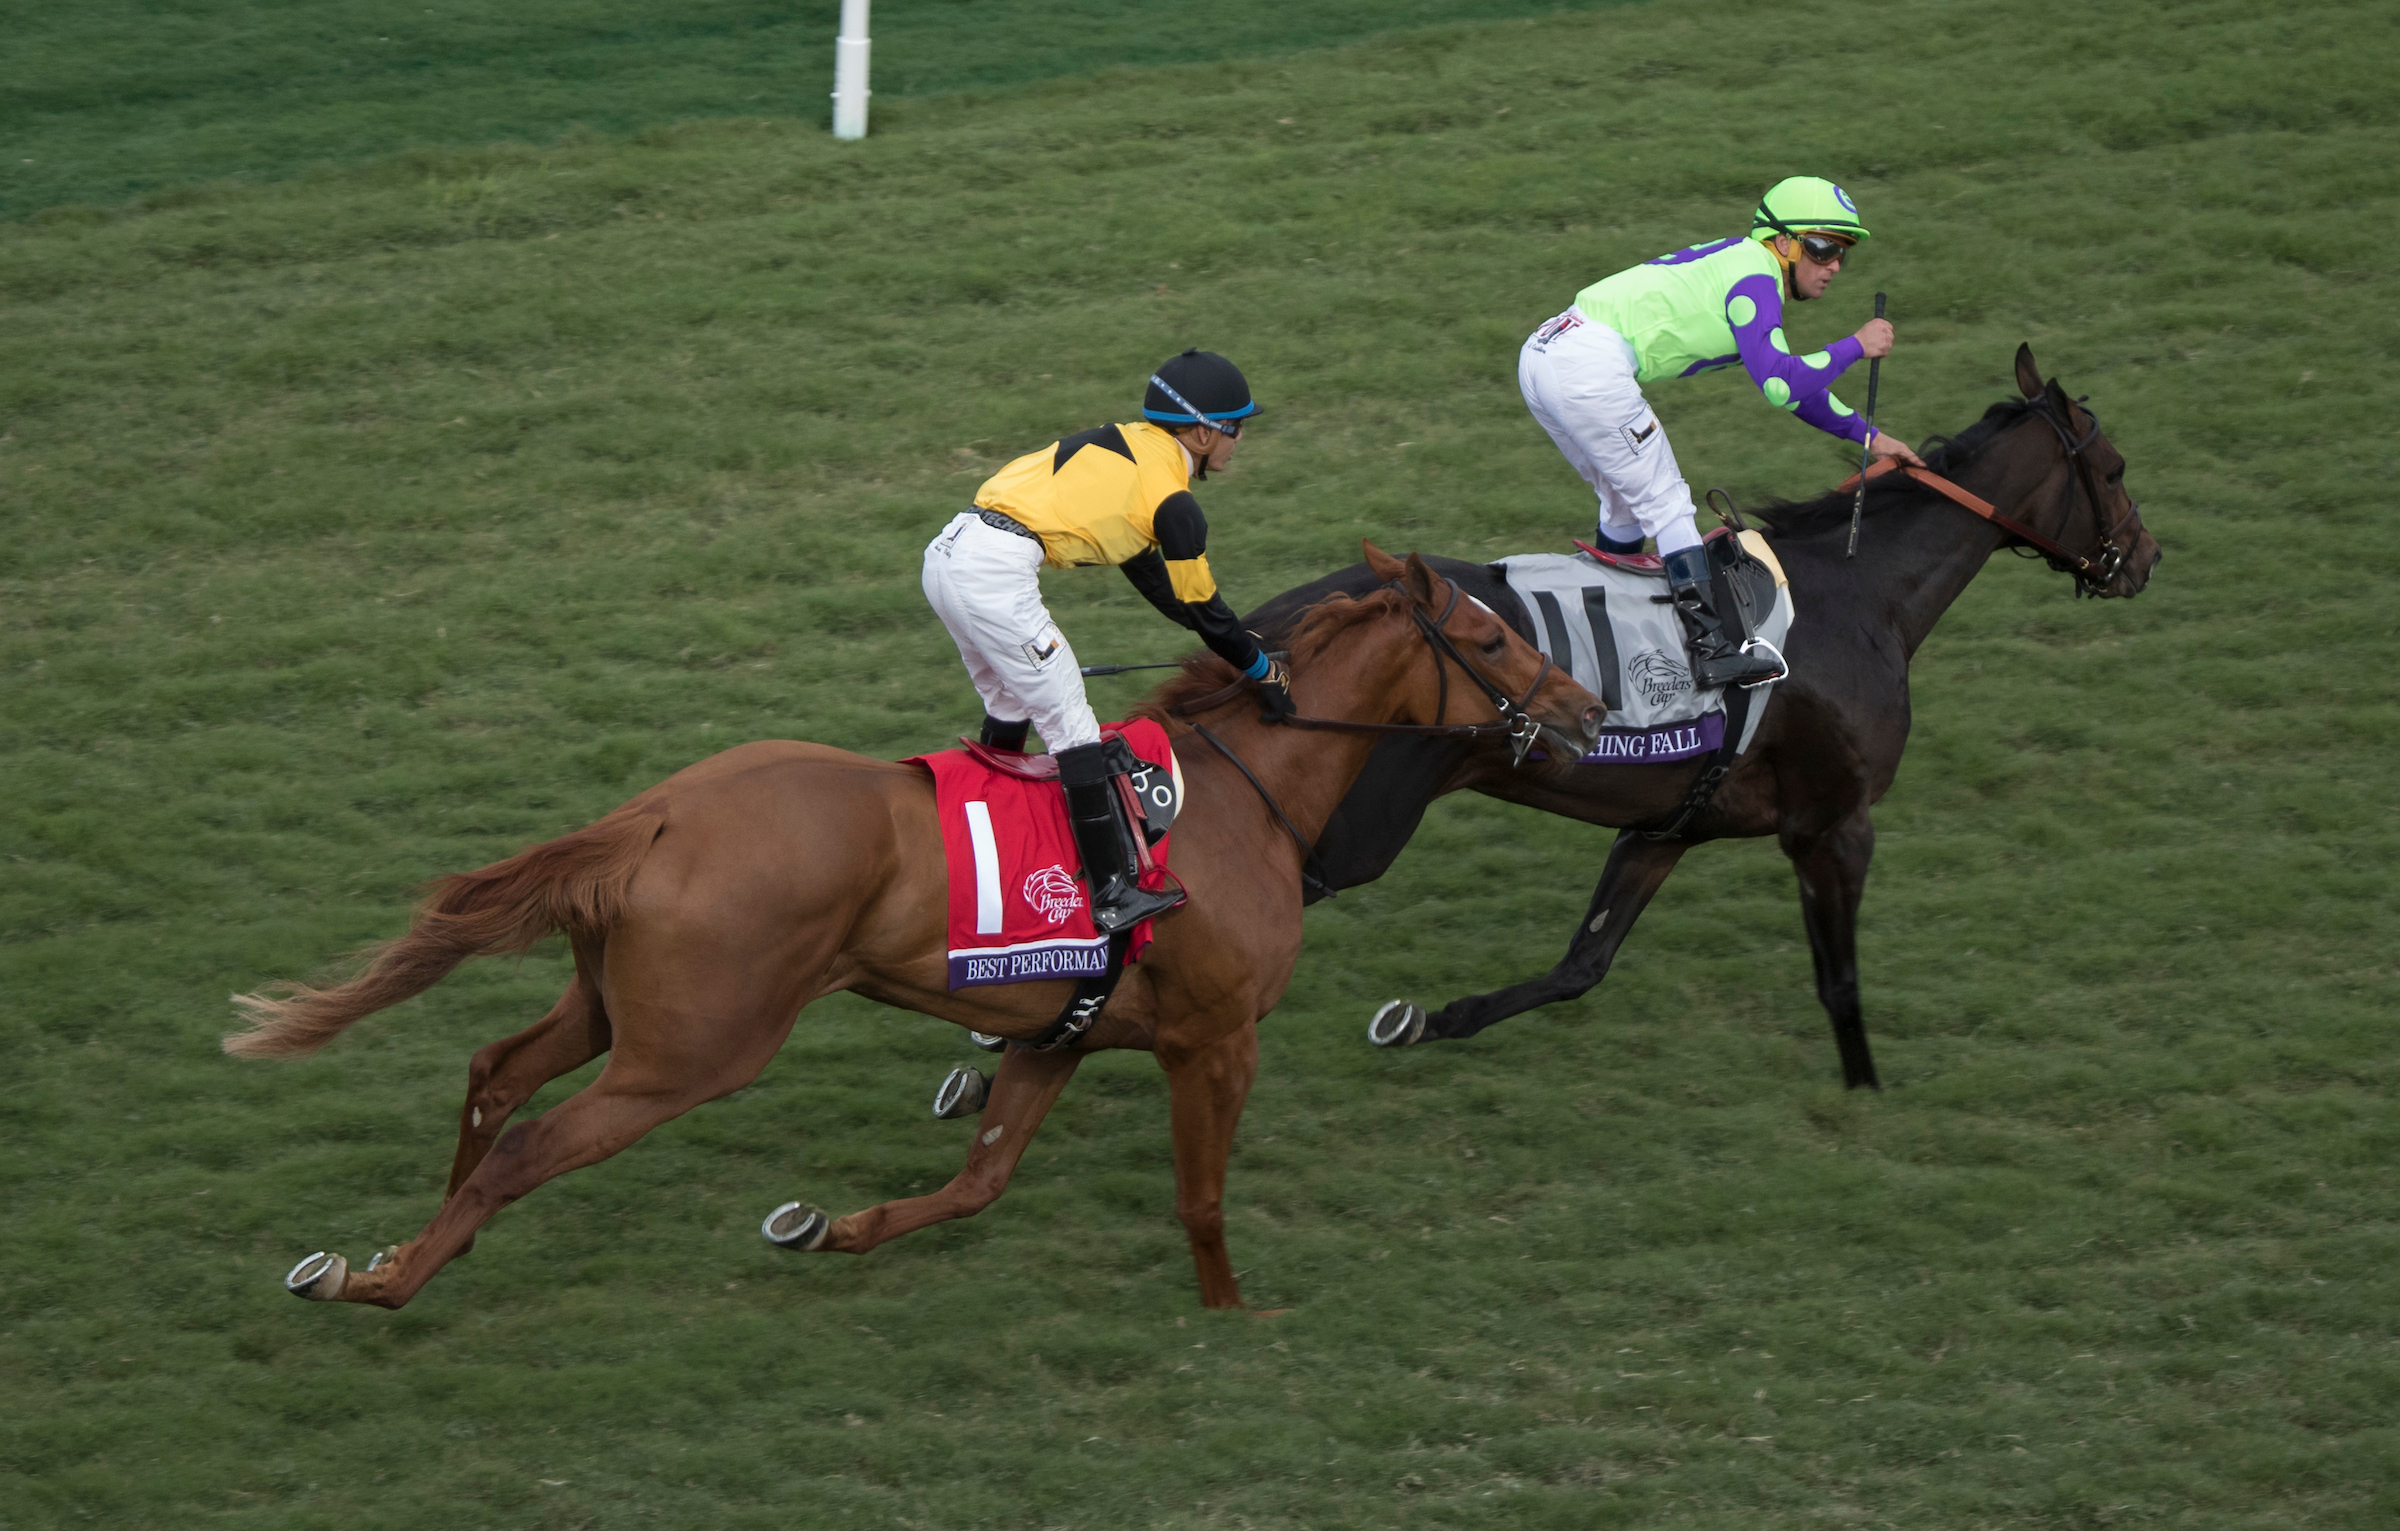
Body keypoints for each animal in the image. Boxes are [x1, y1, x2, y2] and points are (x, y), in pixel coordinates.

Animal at [234, 547, 1603, 1315]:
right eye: (1489, 635)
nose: (1587, 707)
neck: (1235, 795)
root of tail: (656, 817)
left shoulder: (1064, 1028)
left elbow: (978, 1180)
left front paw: (835, 1228)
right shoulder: (1214, 1039)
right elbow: (1201, 1195)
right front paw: (1232, 1311)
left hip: (618, 1007)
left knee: (495, 1070)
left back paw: (404, 1239)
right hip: (695, 1050)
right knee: (529, 1140)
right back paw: (395, 1279)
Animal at [1257, 345, 2160, 1094]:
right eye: (2114, 469)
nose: (2146, 558)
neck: (1861, 595)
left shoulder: (1669, 826)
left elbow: (1581, 963)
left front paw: (1425, 1021)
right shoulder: (1834, 822)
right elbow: (1840, 979)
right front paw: (1866, 1093)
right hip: (1358, 830)